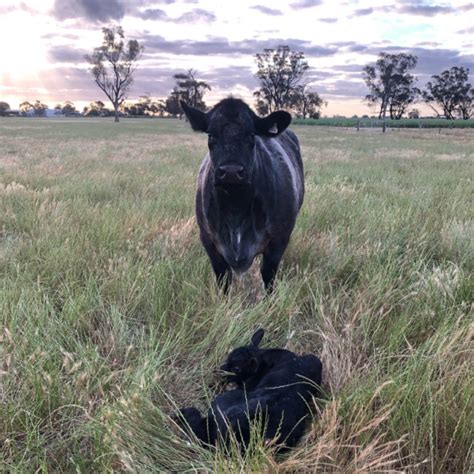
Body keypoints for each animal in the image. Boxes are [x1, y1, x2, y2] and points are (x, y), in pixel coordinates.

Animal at [181, 99, 304, 292]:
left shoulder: (279, 239)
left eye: (252, 135)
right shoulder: (208, 240)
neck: (235, 208)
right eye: (210, 135)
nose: (231, 172)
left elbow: (268, 276)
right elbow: (223, 278)